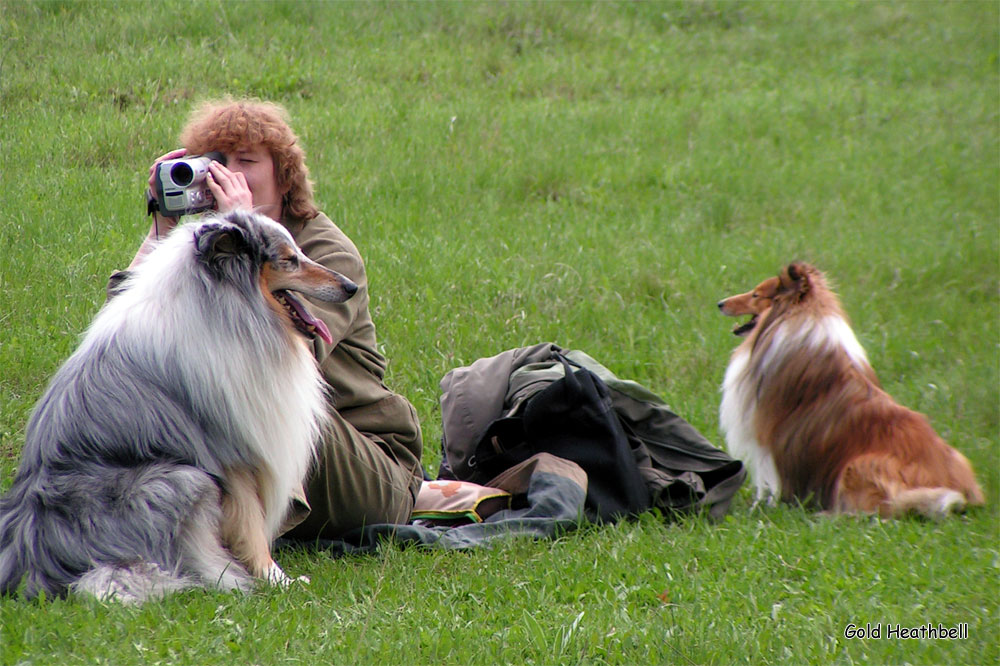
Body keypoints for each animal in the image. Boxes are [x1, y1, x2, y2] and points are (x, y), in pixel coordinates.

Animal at [720, 262, 984, 516]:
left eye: (756, 294)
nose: (720, 303)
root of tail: (964, 494)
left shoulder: (768, 438)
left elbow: (768, 481)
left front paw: (763, 508)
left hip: (859, 465)